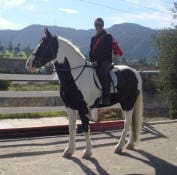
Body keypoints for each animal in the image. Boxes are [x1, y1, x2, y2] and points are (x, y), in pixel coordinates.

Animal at [25, 28, 142, 158]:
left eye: (44, 45)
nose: (29, 64)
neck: (74, 76)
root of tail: (134, 72)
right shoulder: (70, 107)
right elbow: (71, 128)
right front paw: (69, 150)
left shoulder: (83, 108)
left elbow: (86, 127)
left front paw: (87, 151)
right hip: (125, 103)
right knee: (131, 122)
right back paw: (130, 144)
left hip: (128, 103)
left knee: (127, 122)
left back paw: (119, 147)